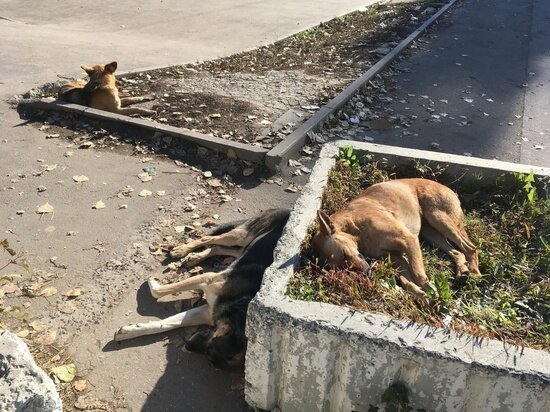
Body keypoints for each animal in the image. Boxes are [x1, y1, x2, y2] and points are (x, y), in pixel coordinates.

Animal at [114, 209, 292, 366]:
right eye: (211, 346)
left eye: (210, 356)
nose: (187, 346)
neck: (243, 302)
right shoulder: (207, 279)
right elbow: (158, 292)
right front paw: (152, 282)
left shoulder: (209, 312)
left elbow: (167, 323)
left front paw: (129, 331)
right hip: (241, 236)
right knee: (208, 238)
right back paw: (183, 250)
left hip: (244, 246)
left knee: (220, 248)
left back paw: (194, 257)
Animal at [312, 179, 480, 304]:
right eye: (341, 269)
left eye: (345, 254)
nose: (366, 274)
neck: (355, 228)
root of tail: (449, 189)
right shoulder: (396, 258)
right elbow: (406, 282)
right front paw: (423, 297)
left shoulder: (409, 240)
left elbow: (418, 274)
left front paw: (432, 291)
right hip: (431, 232)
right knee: (458, 252)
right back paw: (462, 270)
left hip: (438, 217)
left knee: (470, 247)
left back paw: (474, 271)